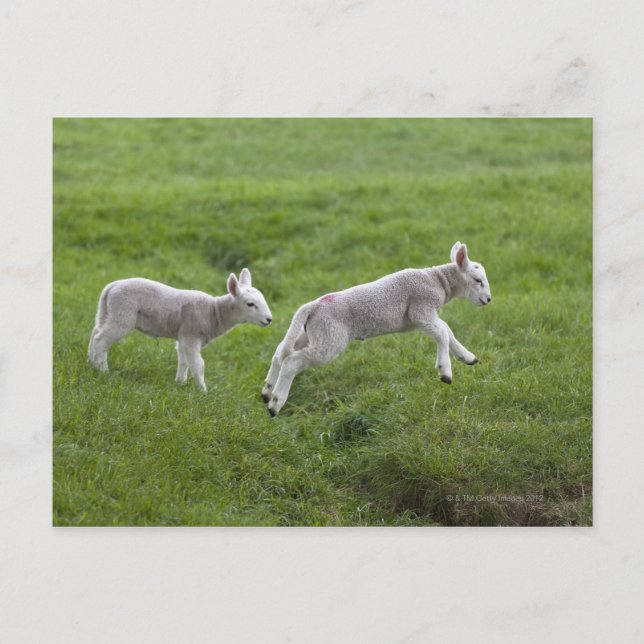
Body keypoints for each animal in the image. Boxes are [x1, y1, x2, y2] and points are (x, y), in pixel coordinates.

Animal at [88, 268, 272, 391]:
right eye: (250, 304)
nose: (269, 320)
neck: (214, 312)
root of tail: (112, 286)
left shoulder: (184, 336)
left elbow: (184, 361)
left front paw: (180, 383)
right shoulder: (192, 335)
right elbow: (198, 364)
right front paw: (203, 391)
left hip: (108, 310)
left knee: (95, 332)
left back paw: (91, 363)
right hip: (123, 314)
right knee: (101, 339)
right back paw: (103, 370)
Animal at [262, 242, 491, 416]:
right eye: (478, 280)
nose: (488, 300)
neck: (437, 281)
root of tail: (312, 306)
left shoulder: (425, 316)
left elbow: (447, 330)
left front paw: (467, 357)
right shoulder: (421, 309)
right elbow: (443, 332)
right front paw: (445, 371)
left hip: (311, 333)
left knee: (280, 352)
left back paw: (267, 392)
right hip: (330, 337)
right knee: (292, 361)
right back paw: (276, 404)